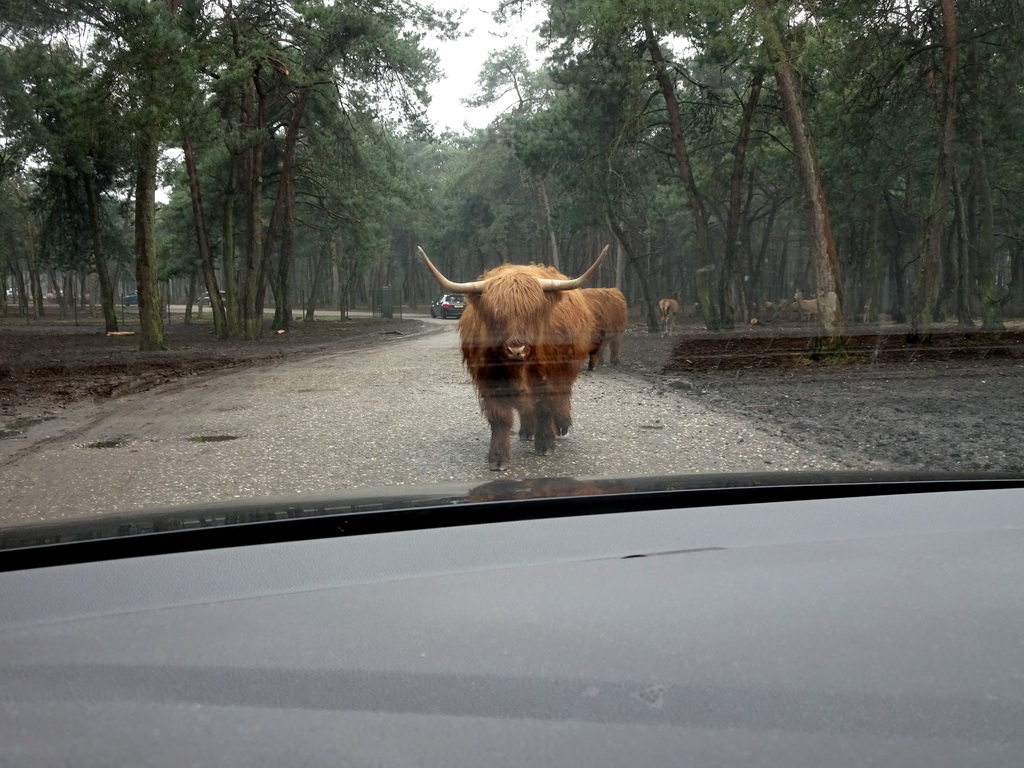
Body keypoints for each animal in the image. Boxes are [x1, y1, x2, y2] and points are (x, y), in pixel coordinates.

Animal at [417, 244, 606, 468]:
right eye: (496, 315)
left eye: (533, 313)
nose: (516, 349)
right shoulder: (489, 380)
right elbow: (500, 418)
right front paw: (497, 457)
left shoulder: (549, 376)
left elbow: (545, 408)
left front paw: (545, 445)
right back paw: (526, 431)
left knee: (562, 398)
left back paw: (562, 426)